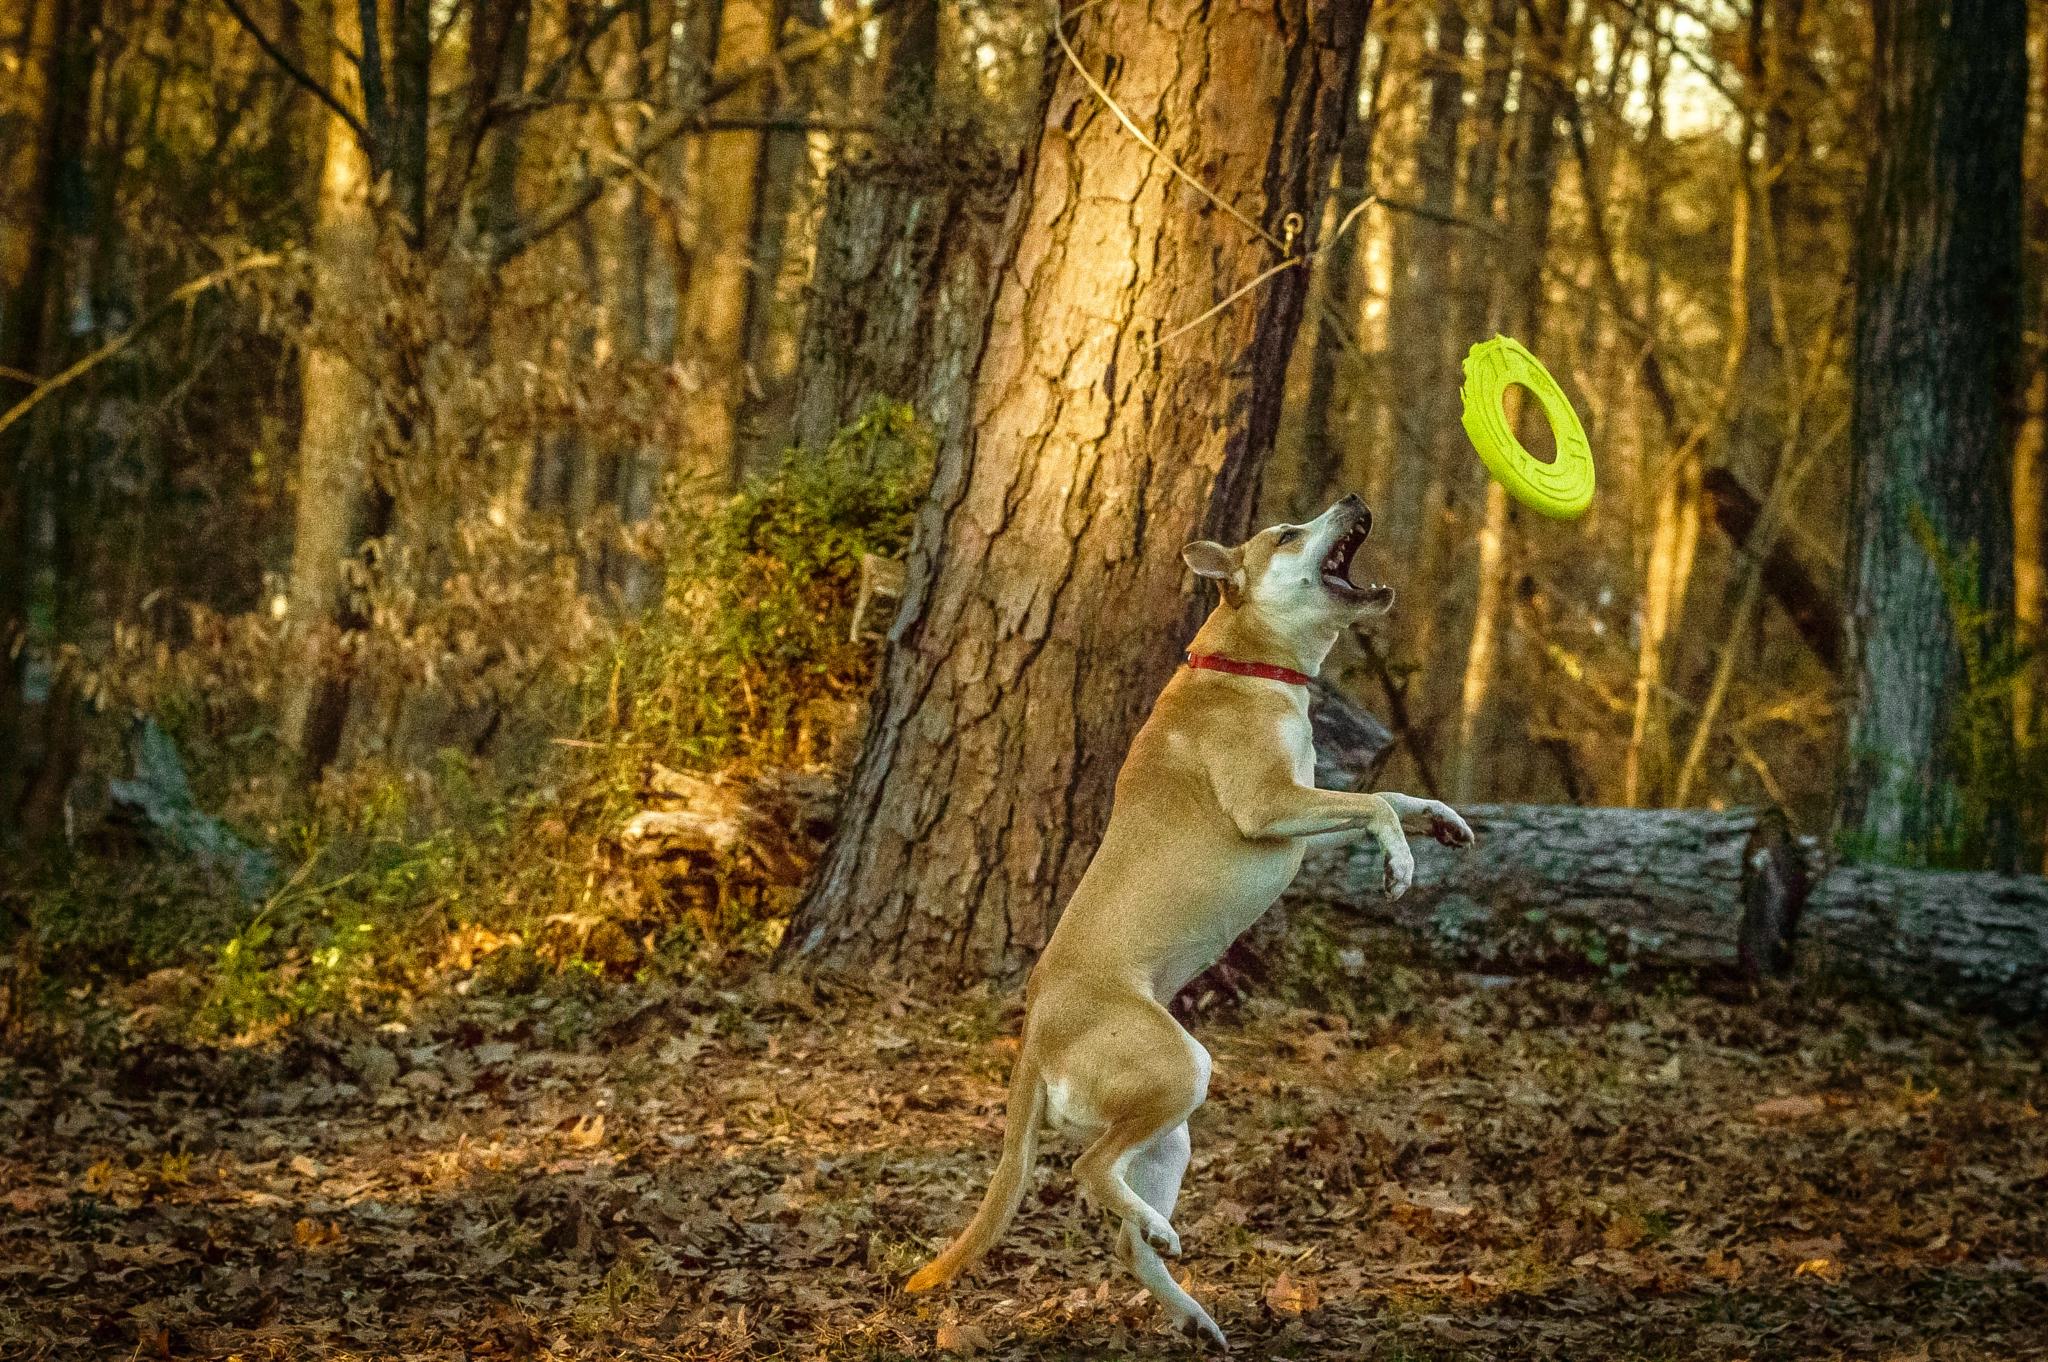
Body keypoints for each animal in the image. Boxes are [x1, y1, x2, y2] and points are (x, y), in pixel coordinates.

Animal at [909, 493, 1474, 1343]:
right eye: (1287, 533)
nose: (1351, 499)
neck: (1246, 667)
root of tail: (1035, 1038)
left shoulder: (1299, 819)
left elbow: (1391, 798)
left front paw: (1441, 822)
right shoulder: (1269, 806)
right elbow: (1375, 802)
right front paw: (1402, 864)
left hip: (1167, 1130)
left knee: (1123, 1232)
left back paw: (1190, 1308)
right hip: (1181, 1071)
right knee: (1085, 1171)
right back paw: (1167, 1253)